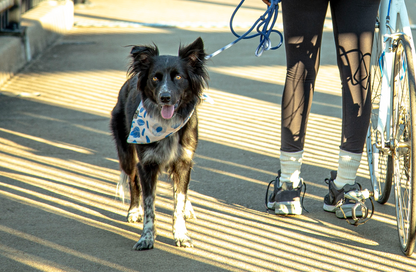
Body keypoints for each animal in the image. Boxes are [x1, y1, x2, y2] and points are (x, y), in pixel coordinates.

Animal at [109, 37, 208, 250]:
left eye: (178, 77)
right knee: (133, 180)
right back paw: (134, 210)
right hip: (127, 155)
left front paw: (181, 235)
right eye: (155, 78)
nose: (165, 97)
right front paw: (146, 237)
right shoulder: (146, 164)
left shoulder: (183, 162)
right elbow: (149, 205)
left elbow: (179, 201)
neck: (166, 125)